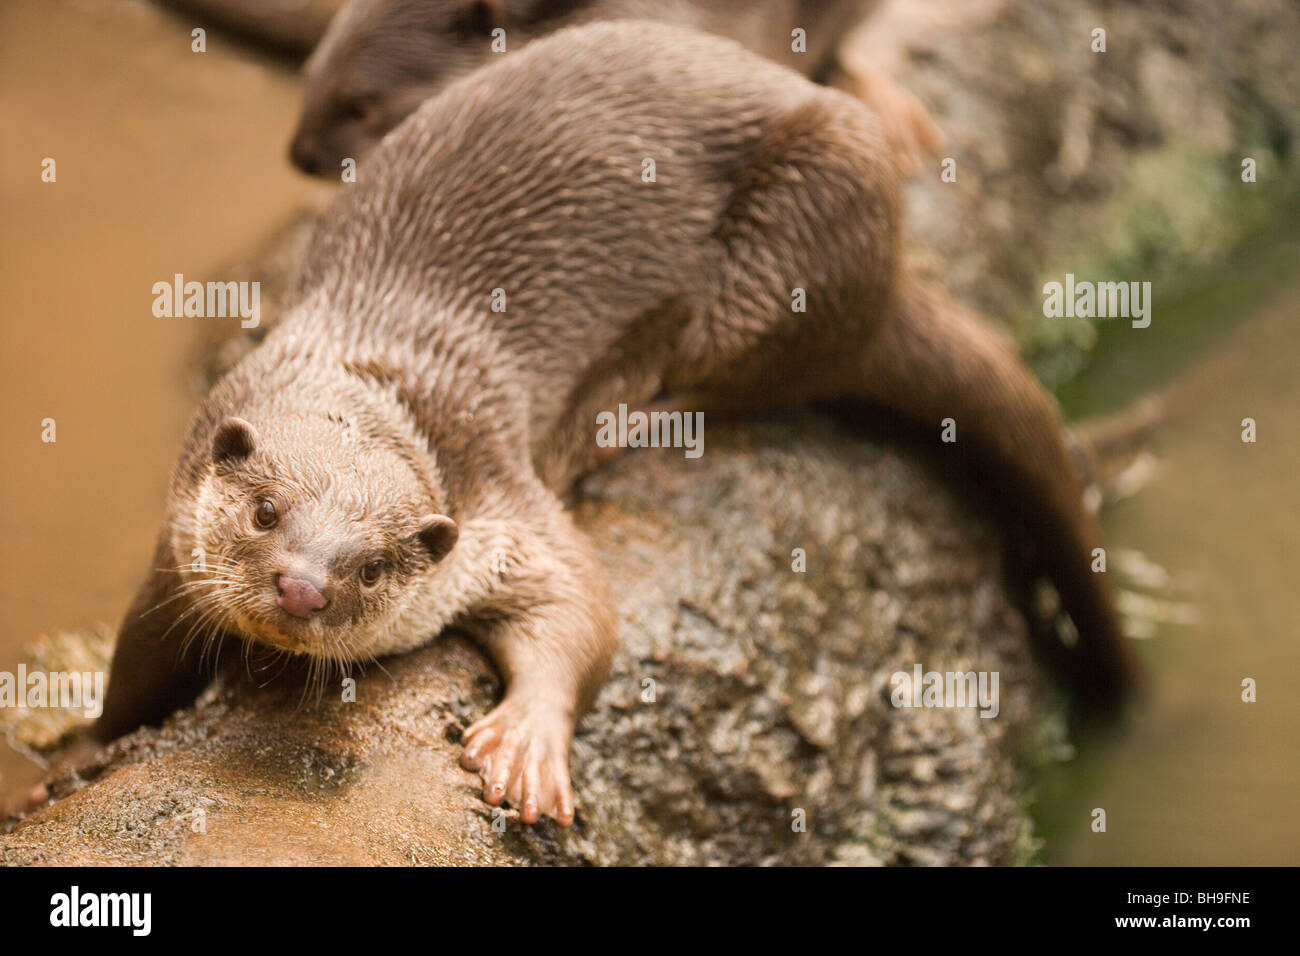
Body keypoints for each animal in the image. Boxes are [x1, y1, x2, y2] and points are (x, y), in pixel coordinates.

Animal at [83, 22, 1138, 832]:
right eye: (265, 512)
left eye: (374, 565)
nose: (303, 587)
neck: (378, 377)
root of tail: (889, 268)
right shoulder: (180, 545)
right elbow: (132, 668)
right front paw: (79, 758)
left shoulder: (495, 491)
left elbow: (583, 606)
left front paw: (526, 742)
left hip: (793, 244)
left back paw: (633, 414)